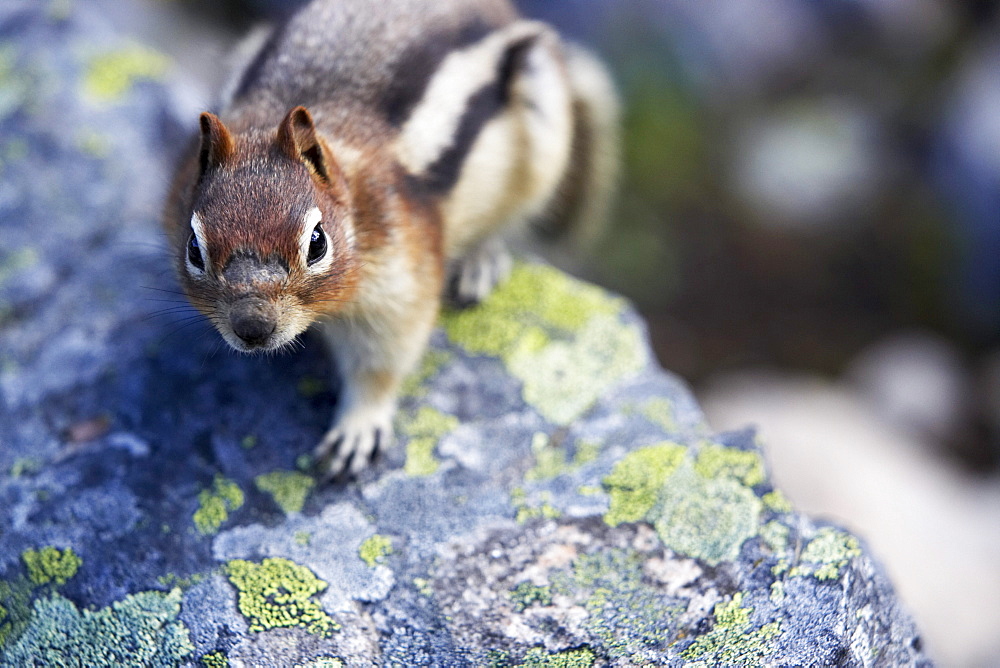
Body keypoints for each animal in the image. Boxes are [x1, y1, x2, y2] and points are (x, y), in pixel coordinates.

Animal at [164, 0, 616, 480]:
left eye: (317, 243)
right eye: (194, 248)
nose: (252, 327)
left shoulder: (400, 279)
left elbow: (383, 359)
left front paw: (357, 428)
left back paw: (480, 259)